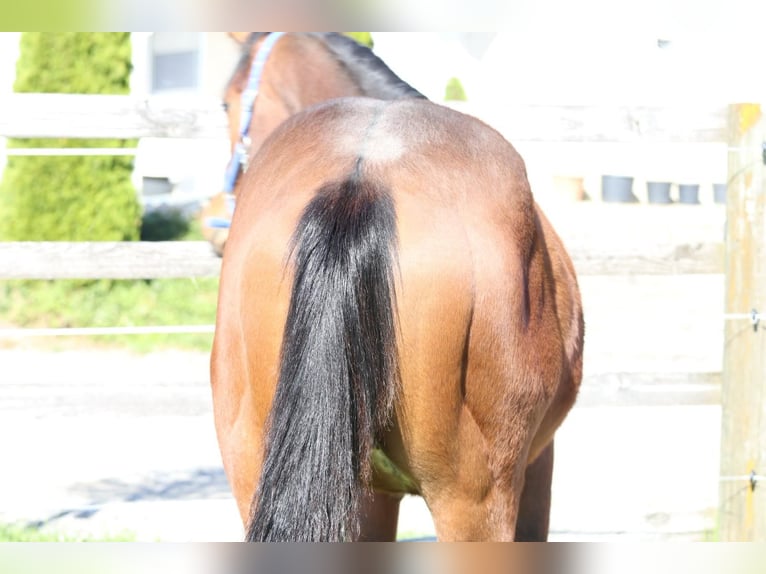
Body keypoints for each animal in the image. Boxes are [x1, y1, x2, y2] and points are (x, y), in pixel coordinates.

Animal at [210, 32, 584, 541]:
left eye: (226, 101)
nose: (214, 223)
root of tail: (361, 179)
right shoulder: (538, 464)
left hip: (252, 469)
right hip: (474, 501)